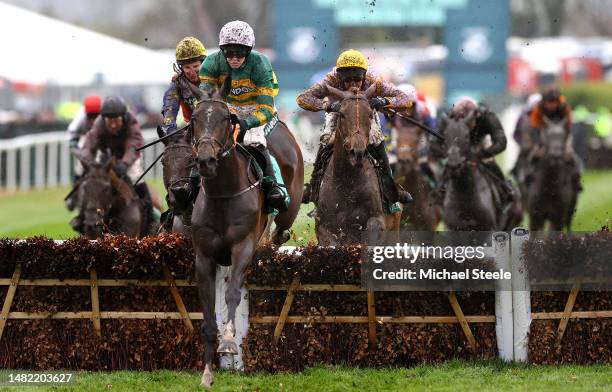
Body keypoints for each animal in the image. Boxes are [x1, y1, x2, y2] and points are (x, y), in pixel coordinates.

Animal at [185, 87, 302, 388]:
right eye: (195, 120)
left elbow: (233, 293)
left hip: (289, 209)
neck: (224, 193)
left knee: (280, 230)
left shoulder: (243, 247)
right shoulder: (204, 256)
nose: (206, 160)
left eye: (226, 119)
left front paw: (228, 341)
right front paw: (207, 372)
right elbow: (207, 311)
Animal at [316, 84, 402, 245]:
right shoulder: (324, 228)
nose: (357, 151)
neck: (347, 181)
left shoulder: (377, 220)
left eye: (369, 114)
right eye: (342, 114)